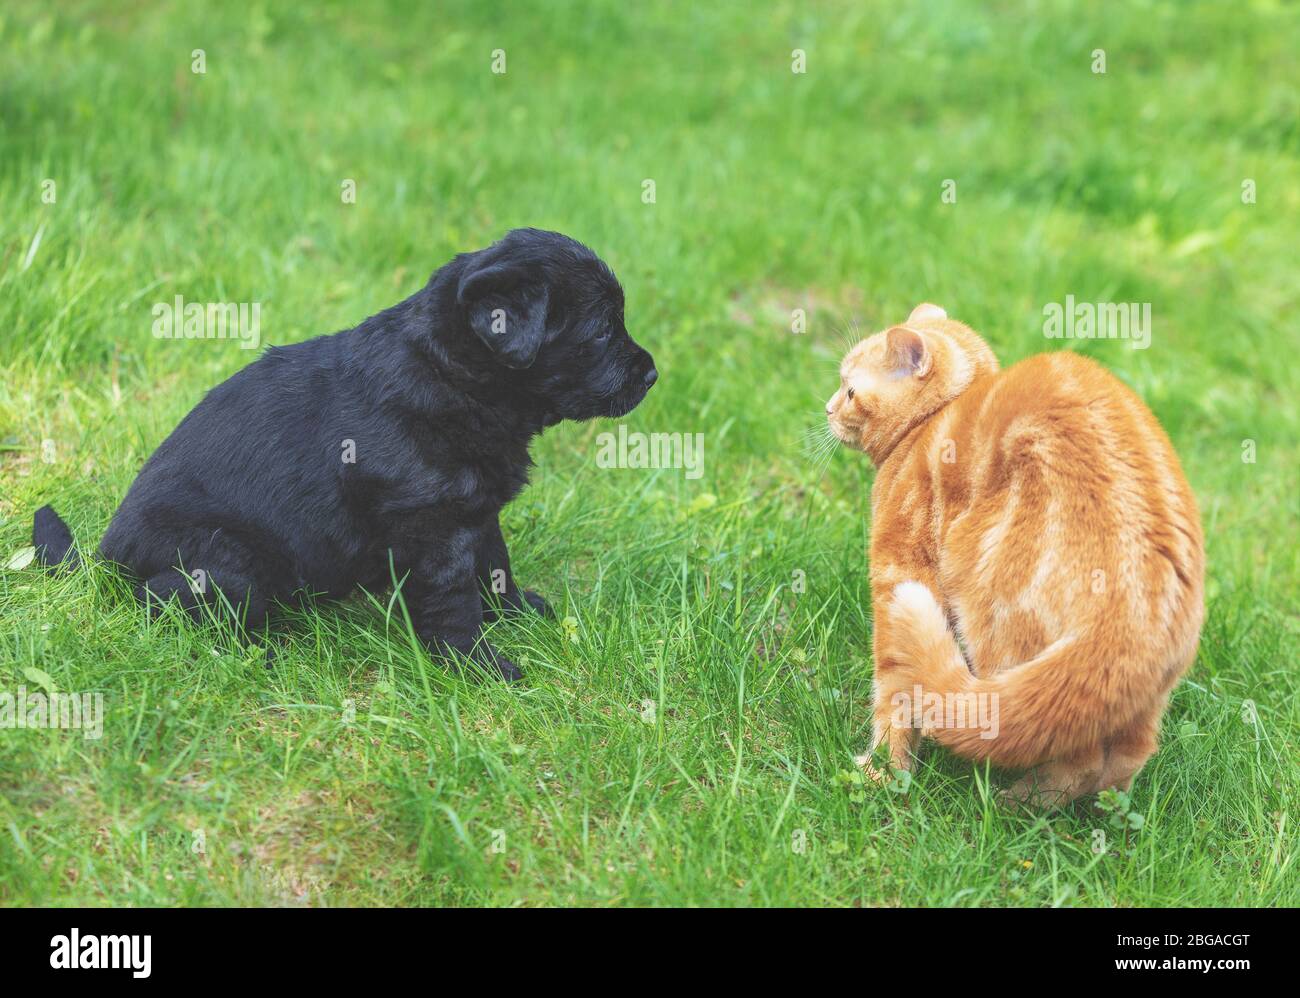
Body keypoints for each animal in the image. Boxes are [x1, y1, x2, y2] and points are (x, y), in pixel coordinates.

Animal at [31, 227, 660, 680]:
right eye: (602, 332)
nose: (653, 374)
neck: (450, 374)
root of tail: (104, 561)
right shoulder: (435, 529)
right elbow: (454, 603)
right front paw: (477, 666)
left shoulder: (475, 513)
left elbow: (494, 566)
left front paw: (516, 613)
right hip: (230, 562)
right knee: (163, 604)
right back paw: (261, 650)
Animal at [826, 301, 1201, 800]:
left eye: (850, 390)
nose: (827, 408)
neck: (926, 427)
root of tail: (1132, 615)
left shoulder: (898, 571)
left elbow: (894, 692)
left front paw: (882, 771)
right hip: (1141, 707)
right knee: (1124, 759)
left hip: (992, 623)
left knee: (1063, 750)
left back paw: (1017, 800)